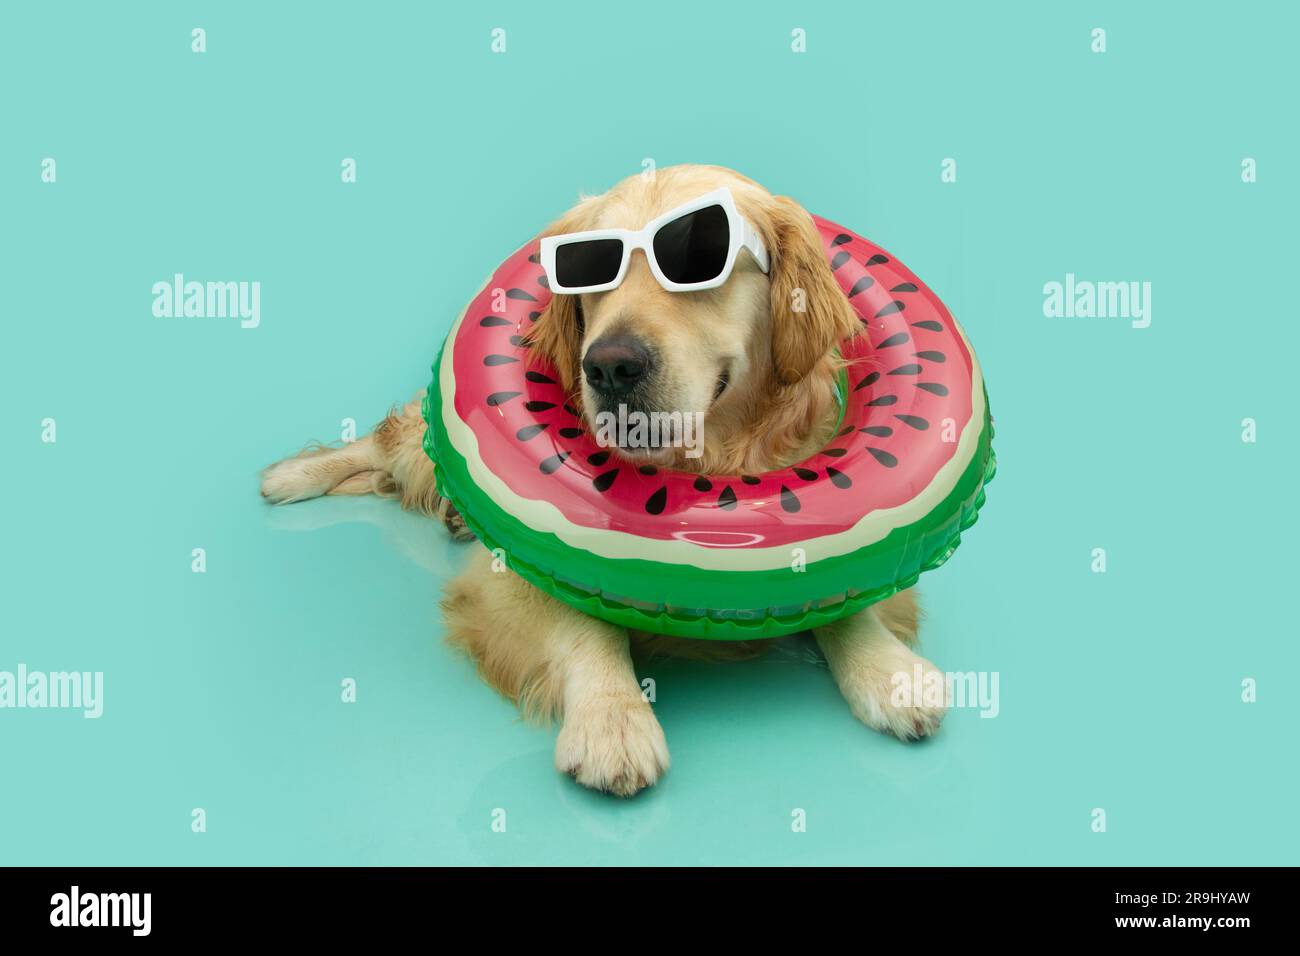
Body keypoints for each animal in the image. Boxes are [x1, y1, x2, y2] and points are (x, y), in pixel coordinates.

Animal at [258, 166, 946, 801]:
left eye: (701, 258)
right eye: (590, 270)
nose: (611, 366)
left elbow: (849, 598)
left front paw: (891, 670)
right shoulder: (506, 576)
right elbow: (582, 618)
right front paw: (612, 717)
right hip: (412, 443)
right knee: (381, 440)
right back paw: (292, 476)